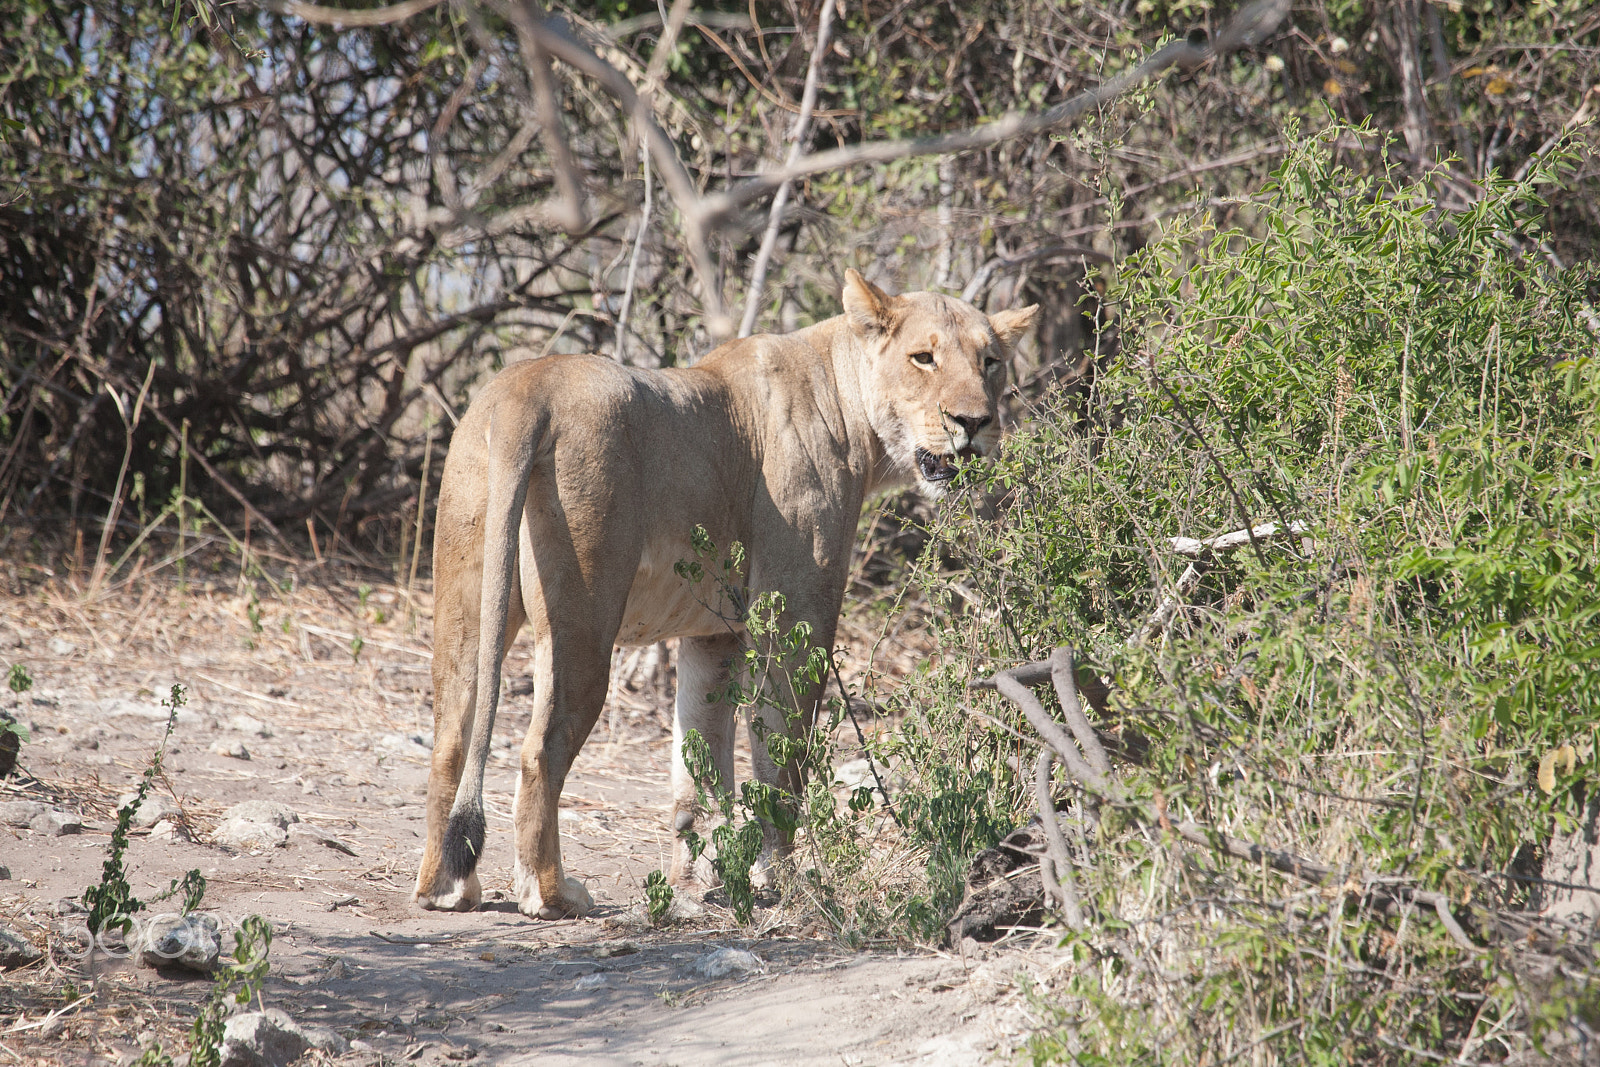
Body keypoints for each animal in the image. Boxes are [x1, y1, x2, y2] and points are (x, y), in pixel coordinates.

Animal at [414, 270, 1038, 919]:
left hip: (465, 602)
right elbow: (781, 761)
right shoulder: (794, 616)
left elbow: (702, 765)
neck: (851, 410)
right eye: (923, 358)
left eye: (991, 362)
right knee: (542, 748)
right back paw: (552, 893)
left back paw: (447, 888)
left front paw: (694, 883)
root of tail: (525, 389)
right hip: (580, 617)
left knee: (450, 737)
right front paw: (780, 881)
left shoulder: (713, 635)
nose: (976, 422)